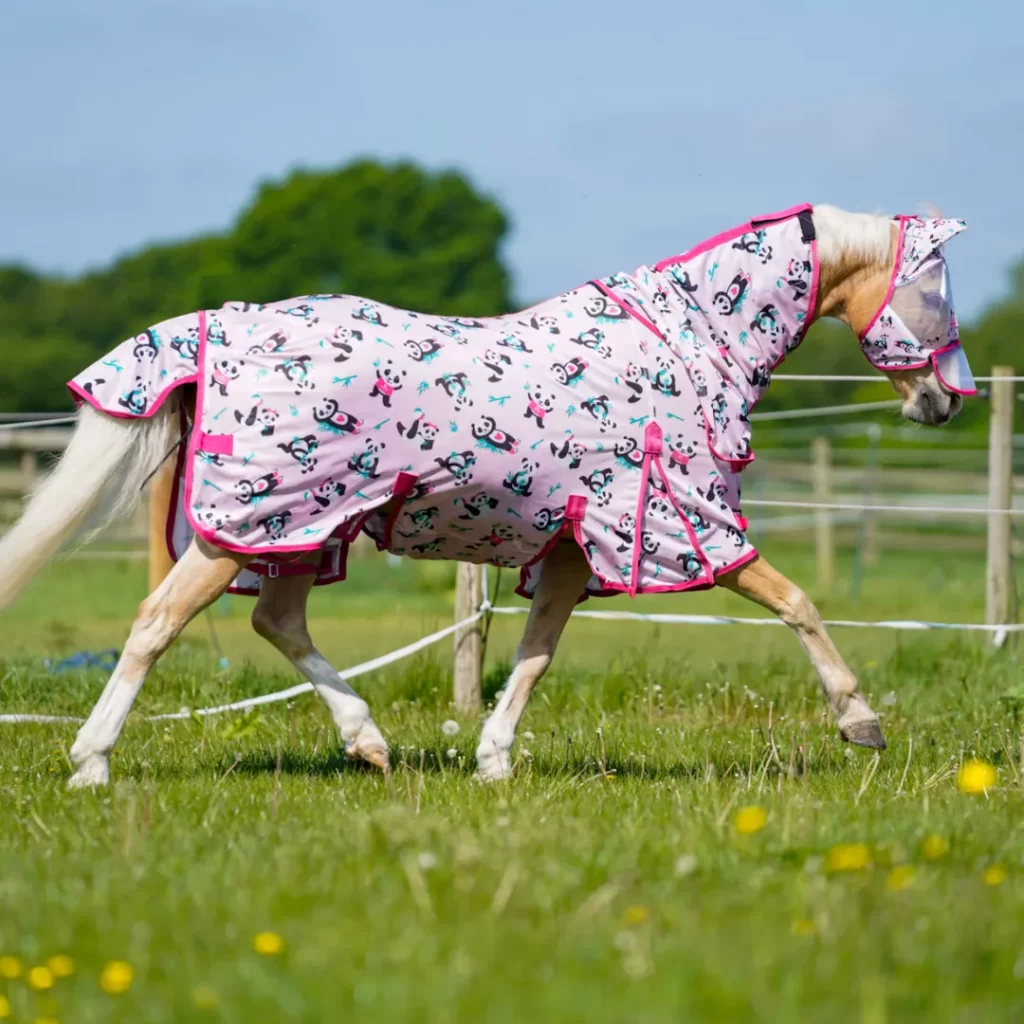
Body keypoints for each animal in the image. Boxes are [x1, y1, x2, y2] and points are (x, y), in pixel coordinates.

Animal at [0, 203, 973, 787]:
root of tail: (219, 326)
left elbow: (536, 654)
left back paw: (369, 742)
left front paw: (494, 761)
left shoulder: (572, 551)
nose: (941, 403)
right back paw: (91, 763)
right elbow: (798, 603)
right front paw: (862, 724)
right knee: (156, 624)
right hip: (249, 525)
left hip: (302, 529)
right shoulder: (685, 525)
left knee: (276, 622)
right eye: (933, 292)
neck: (689, 347)